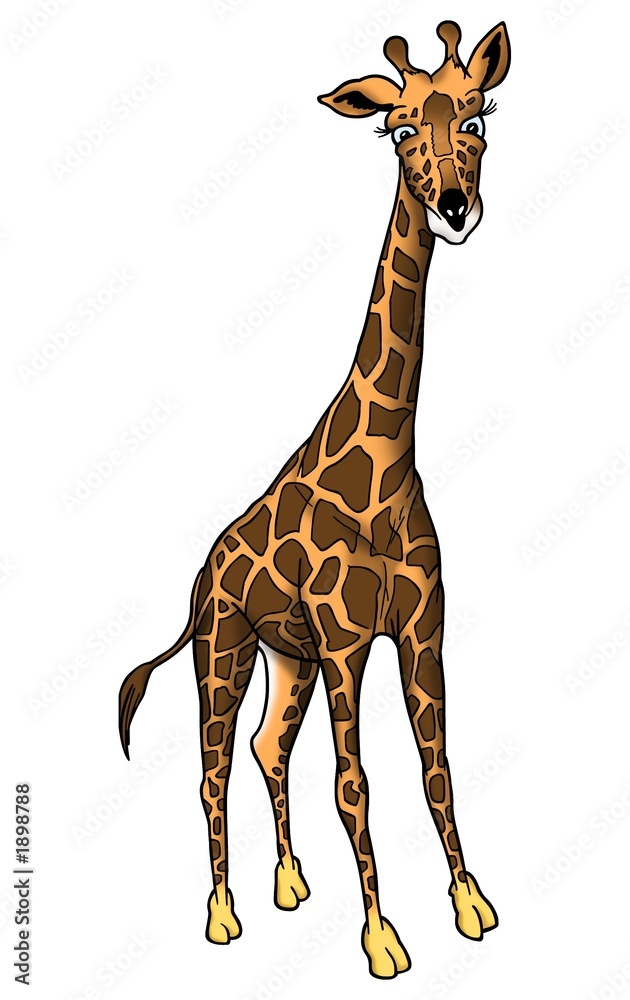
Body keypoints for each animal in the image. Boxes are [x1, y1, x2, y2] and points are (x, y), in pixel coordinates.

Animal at [119, 20, 510, 979]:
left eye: (478, 117)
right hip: (224, 648)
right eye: (397, 131)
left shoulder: (419, 629)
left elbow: (437, 766)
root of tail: (199, 575)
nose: (455, 206)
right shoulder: (345, 640)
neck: (388, 464)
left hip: (285, 656)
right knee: (213, 765)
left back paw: (289, 884)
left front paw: (470, 903)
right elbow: (356, 783)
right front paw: (381, 938)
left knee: (267, 747)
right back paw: (224, 915)